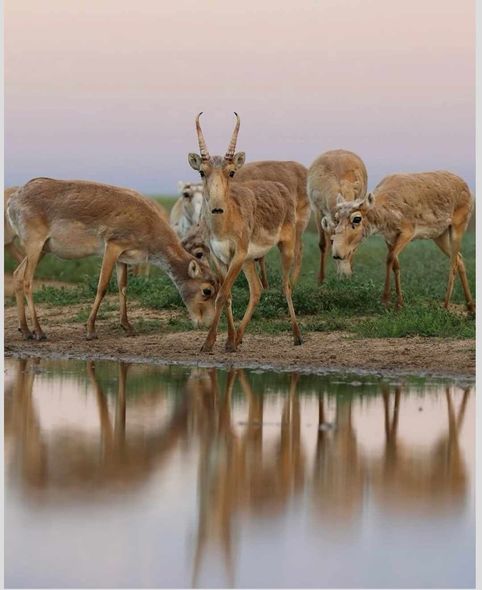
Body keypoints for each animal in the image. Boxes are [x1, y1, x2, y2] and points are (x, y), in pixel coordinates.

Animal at [7, 178, 217, 340]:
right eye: (207, 290)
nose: (207, 323)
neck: (149, 226)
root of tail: (13, 199)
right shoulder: (112, 247)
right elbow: (103, 286)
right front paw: (91, 330)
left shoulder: (123, 258)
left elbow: (123, 287)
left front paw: (128, 326)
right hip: (35, 245)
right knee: (27, 280)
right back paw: (39, 332)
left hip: (43, 249)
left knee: (17, 274)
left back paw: (25, 330)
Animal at [187, 113, 302, 354]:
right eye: (202, 172)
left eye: (231, 172)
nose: (217, 208)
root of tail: (281, 187)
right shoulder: (218, 257)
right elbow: (227, 296)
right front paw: (228, 340)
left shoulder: (237, 255)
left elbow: (221, 295)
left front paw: (208, 343)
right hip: (250, 260)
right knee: (257, 290)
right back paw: (238, 338)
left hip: (285, 247)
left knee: (286, 286)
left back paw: (297, 336)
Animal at [328, 170, 474, 312]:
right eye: (336, 218)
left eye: (357, 218)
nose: (337, 253)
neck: (387, 211)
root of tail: (466, 186)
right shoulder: (389, 238)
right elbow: (395, 265)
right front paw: (399, 303)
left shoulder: (407, 232)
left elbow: (389, 259)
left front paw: (385, 300)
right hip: (439, 235)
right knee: (459, 258)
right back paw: (470, 306)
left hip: (457, 226)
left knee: (453, 263)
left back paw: (446, 305)